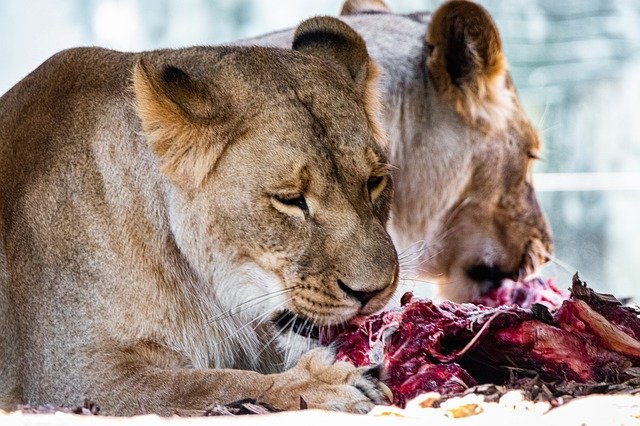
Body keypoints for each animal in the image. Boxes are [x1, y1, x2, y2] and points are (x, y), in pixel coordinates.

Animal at [1, 17, 400, 416]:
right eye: (290, 200)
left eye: (374, 182)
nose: (373, 292)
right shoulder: (68, 377)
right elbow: (202, 384)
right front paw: (319, 385)